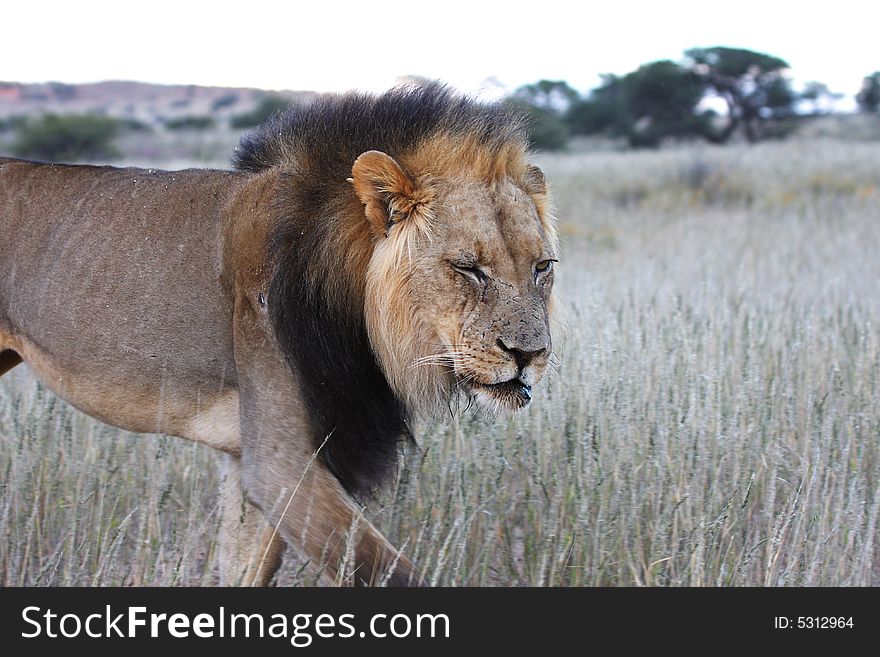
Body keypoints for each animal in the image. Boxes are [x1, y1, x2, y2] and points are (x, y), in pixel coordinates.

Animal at [1, 83, 556, 584]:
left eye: (542, 268)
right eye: (468, 268)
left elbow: (245, 567)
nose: (529, 354)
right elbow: (390, 574)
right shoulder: (279, 464)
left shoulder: (250, 458)